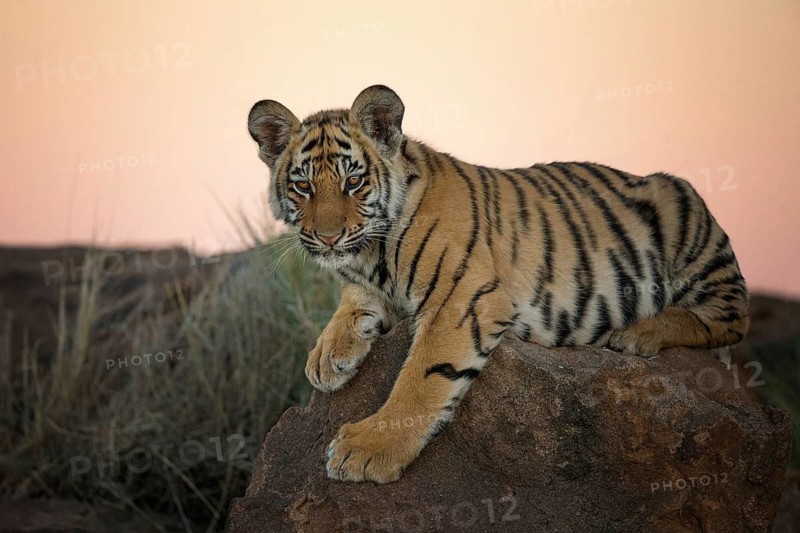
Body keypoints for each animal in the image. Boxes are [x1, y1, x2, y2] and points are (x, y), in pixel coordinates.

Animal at [247, 85, 749, 484]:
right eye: (303, 187)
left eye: (353, 181)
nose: (329, 237)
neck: (374, 254)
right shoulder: (372, 283)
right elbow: (352, 305)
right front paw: (326, 358)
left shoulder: (459, 299)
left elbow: (419, 380)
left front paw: (366, 450)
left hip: (686, 221)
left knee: (730, 319)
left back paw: (636, 334)